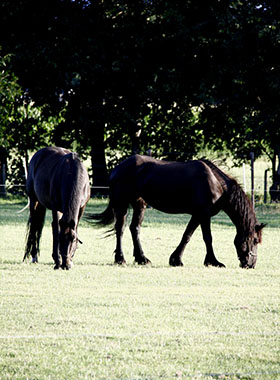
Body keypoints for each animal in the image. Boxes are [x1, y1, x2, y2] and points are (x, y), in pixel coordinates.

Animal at [89, 154, 264, 268]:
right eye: (255, 240)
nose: (251, 264)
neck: (216, 183)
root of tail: (117, 168)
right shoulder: (203, 214)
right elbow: (207, 238)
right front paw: (213, 261)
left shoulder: (197, 215)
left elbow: (187, 235)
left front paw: (176, 259)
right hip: (122, 204)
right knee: (120, 229)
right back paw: (120, 259)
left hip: (139, 204)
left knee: (134, 228)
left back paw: (142, 258)